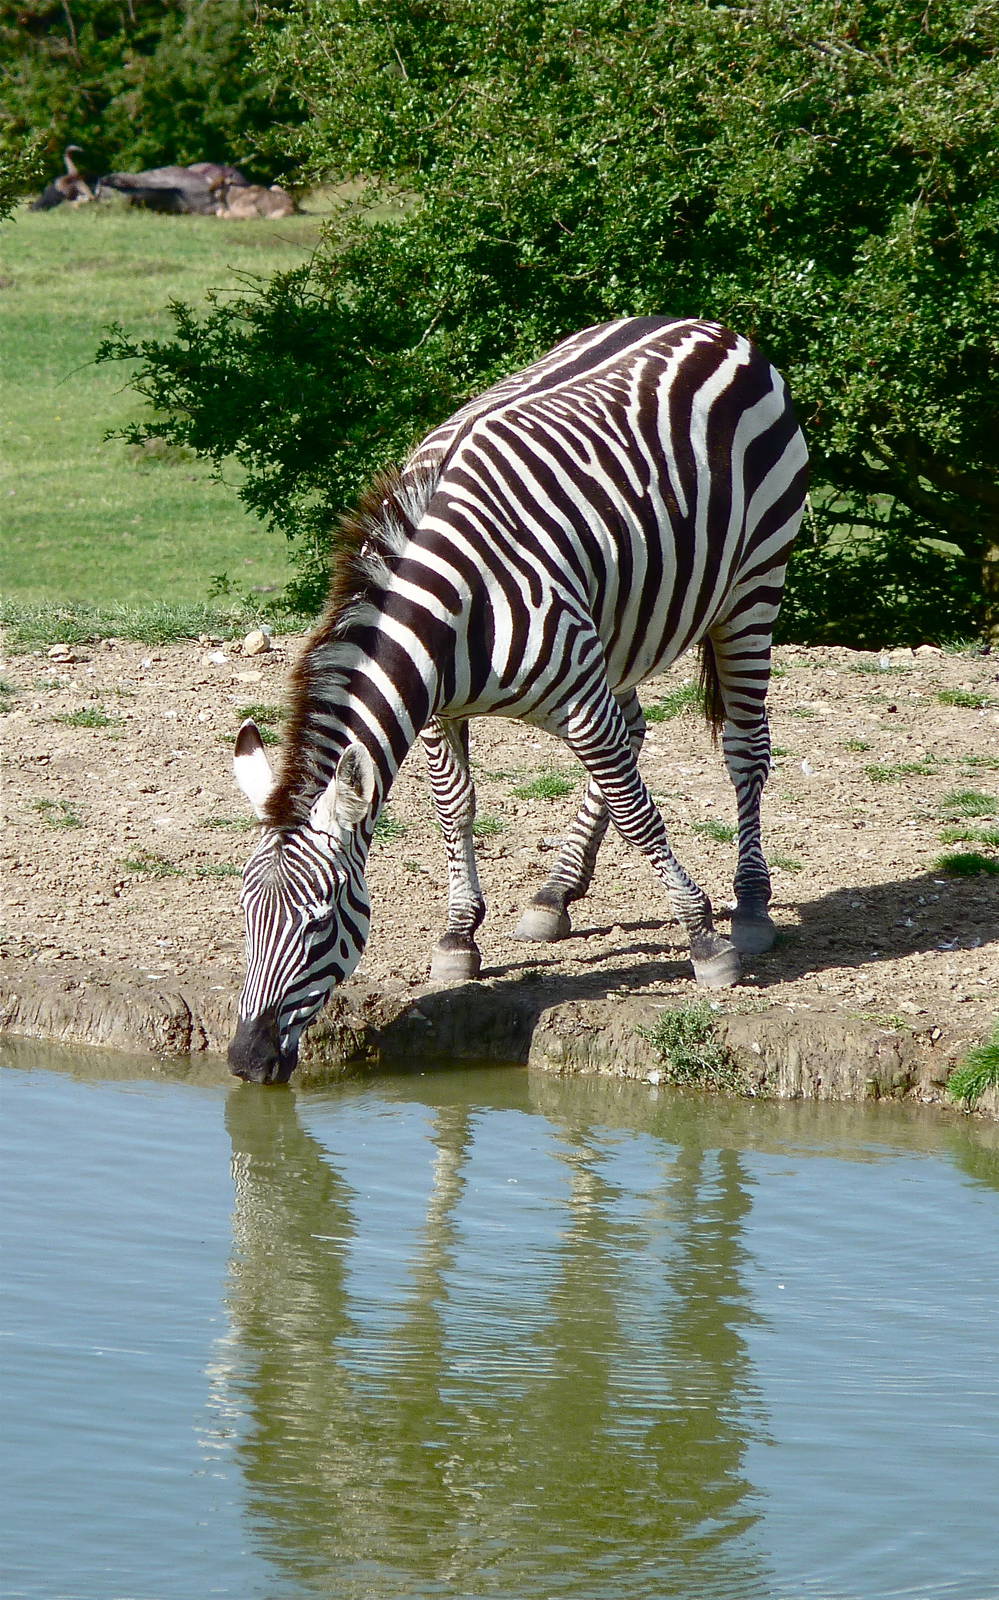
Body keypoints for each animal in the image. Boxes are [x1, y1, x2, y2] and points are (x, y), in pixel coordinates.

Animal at [229, 316, 809, 1083]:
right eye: (242, 917)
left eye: (322, 924)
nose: (245, 1060)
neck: (451, 610)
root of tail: (706, 326)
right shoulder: (442, 712)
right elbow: (457, 806)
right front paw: (457, 938)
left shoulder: (577, 693)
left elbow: (637, 814)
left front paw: (705, 943)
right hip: (622, 621)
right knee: (631, 734)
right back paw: (555, 893)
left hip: (752, 585)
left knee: (744, 748)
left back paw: (749, 904)